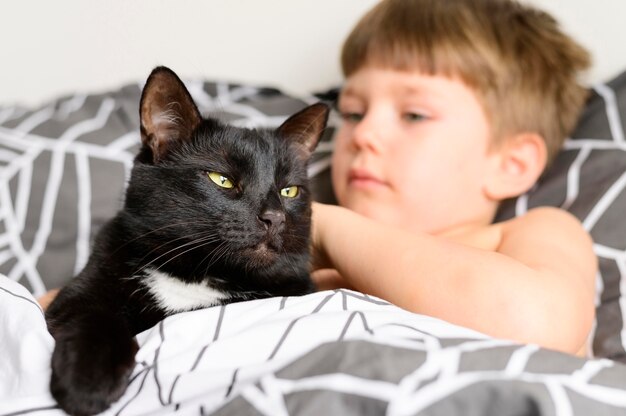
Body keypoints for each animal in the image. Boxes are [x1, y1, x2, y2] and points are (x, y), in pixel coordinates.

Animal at [44, 66, 330, 414]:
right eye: (222, 179)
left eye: (289, 190)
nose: (274, 217)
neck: (198, 276)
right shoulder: (81, 290)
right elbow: (94, 318)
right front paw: (87, 382)